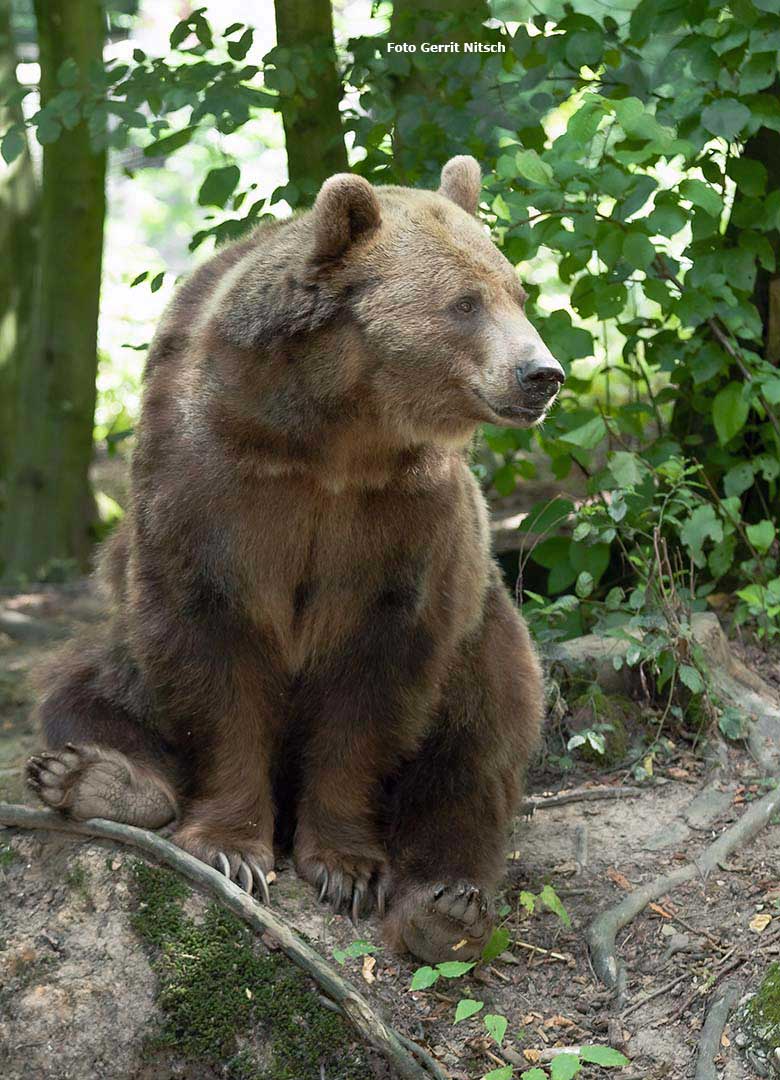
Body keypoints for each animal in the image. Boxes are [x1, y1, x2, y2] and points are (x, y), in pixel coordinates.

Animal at [24, 154, 557, 963]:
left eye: (516, 292)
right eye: (465, 302)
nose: (541, 373)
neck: (337, 433)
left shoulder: (404, 523)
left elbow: (374, 685)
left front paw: (345, 866)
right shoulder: (216, 485)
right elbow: (210, 650)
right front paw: (231, 847)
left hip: (484, 635)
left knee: (480, 741)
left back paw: (446, 906)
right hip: (118, 642)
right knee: (84, 685)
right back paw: (99, 778)